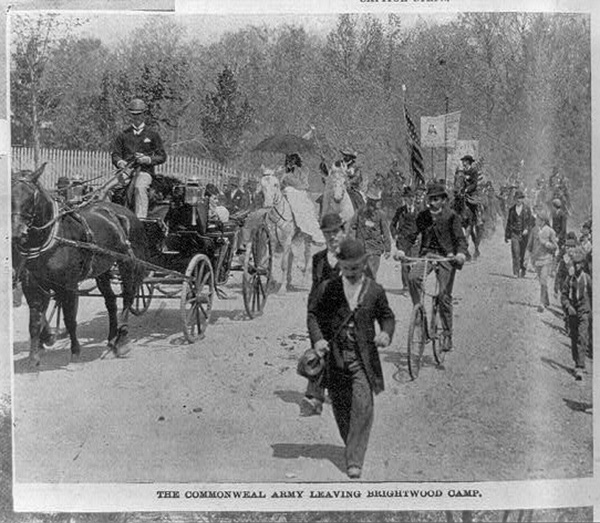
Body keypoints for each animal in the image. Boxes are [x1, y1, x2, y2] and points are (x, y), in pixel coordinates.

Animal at [11, 166, 148, 366]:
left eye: (31, 197)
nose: (16, 233)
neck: (52, 237)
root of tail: (126, 213)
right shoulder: (32, 286)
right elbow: (35, 321)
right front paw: (34, 356)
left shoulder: (68, 286)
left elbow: (70, 319)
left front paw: (75, 353)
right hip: (102, 270)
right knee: (111, 301)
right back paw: (111, 340)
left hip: (127, 263)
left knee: (128, 297)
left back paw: (122, 340)